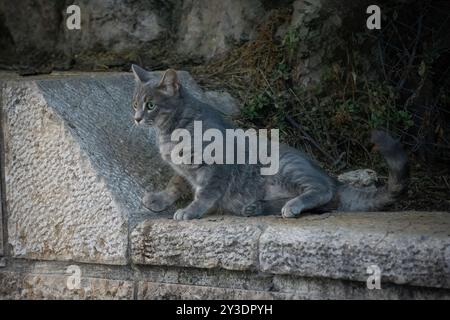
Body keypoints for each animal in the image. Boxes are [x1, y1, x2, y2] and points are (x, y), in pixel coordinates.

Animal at [130, 65, 408, 220]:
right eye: (135, 104)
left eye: (150, 105)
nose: (136, 118)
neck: (170, 131)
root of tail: (333, 178)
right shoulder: (182, 169)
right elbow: (175, 184)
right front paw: (159, 199)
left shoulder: (217, 165)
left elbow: (205, 193)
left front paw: (191, 210)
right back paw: (256, 207)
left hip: (286, 166)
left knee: (323, 193)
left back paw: (291, 205)